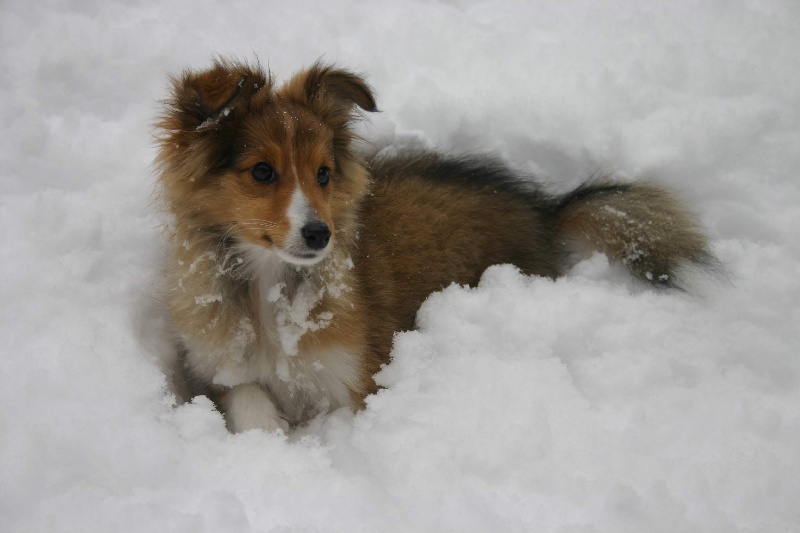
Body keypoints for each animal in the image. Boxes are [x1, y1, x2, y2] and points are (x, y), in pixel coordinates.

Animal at [153, 58, 716, 432]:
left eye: (324, 173)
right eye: (263, 172)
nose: (320, 234)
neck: (271, 284)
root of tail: (546, 212)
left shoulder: (354, 381)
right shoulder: (219, 370)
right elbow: (249, 398)